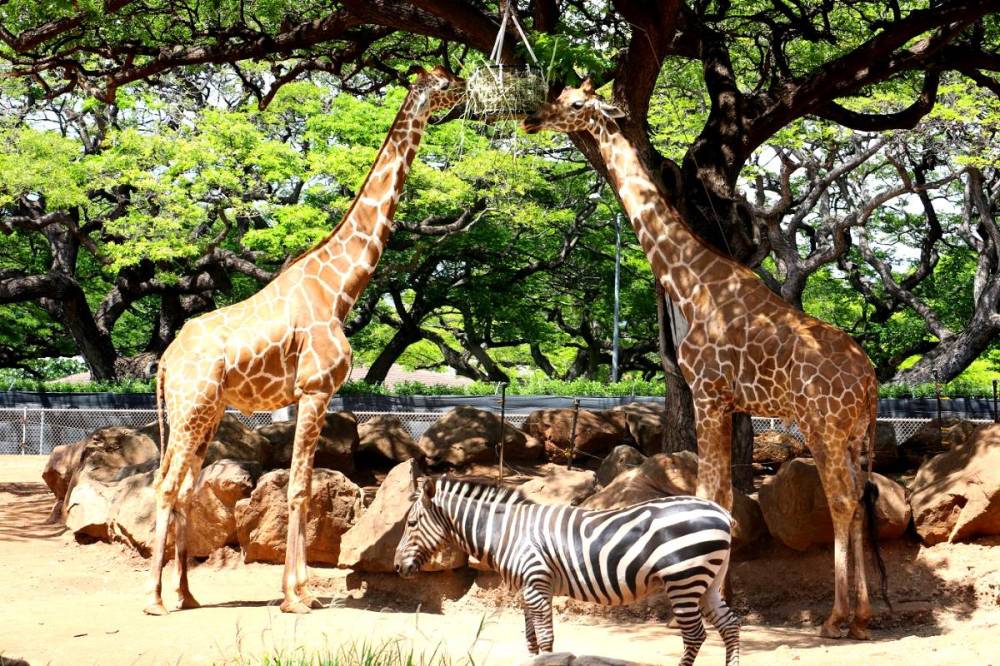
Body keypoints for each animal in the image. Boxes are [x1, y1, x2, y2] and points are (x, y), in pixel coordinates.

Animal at [145, 65, 465, 616]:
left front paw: (297, 590)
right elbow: (298, 488)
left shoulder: (309, 395)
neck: (339, 289)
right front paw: (296, 596)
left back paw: (186, 593)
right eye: (443, 81)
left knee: (184, 486)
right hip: (190, 408)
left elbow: (305, 485)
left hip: (205, 412)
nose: (466, 85)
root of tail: (166, 360)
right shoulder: (315, 389)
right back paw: (155, 598)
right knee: (166, 486)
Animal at [393, 468, 740, 666]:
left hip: (683, 578)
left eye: (410, 524)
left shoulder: (536, 584)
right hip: (707, 582)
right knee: (730, 626)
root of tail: (719, 510)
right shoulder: (526, 590)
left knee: (695, 635)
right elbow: (531, 638)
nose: (397, 567)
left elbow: (546, 640)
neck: (507, 533)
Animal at [522, 80, 881, 640]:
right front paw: (720, 597)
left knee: (842, 501)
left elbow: (712, 495)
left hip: (821, 425)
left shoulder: (709, 392)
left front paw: (709, 606)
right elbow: (723, 499)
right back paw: (864, 617)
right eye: (559, 97)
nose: (531, 117)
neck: (690, 282)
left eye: (576, 105)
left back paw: (836, 617)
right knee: (862, 502)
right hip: (853, 434)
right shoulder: (729, 402)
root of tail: (869, 381)